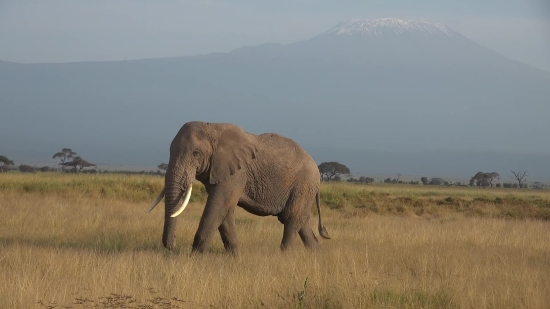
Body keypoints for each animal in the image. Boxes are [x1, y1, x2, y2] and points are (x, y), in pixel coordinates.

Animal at [144, 120, 332, 253]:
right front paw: (235, 257)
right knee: (302, 223)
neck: (213, 127)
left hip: (303, 184)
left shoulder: (236, 172)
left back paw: (284, 256)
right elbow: (225, 211)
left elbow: (218, 206)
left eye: (196, 153)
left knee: (291, 219)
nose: (172, 245)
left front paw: (195, 257)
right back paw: (317, 255)